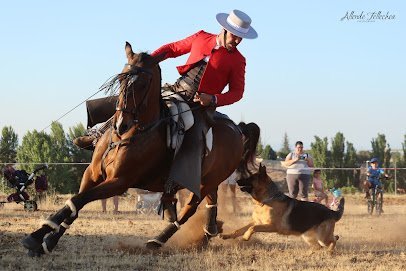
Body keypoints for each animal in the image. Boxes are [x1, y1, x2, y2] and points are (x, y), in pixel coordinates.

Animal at [21, 42, 260, 258]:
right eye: (120, 78)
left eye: (144, 83)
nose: (120, 125)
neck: (132, 134)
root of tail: (237, 129)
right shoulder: (92, 174)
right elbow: (74, 203)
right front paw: (44, 240)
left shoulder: (119, 181)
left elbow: (79, 200)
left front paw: (38, 237)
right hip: (208, 179)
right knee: (211, 201)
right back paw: (208, 232)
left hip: (206, 181)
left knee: (189, 209)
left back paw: (159, 240)